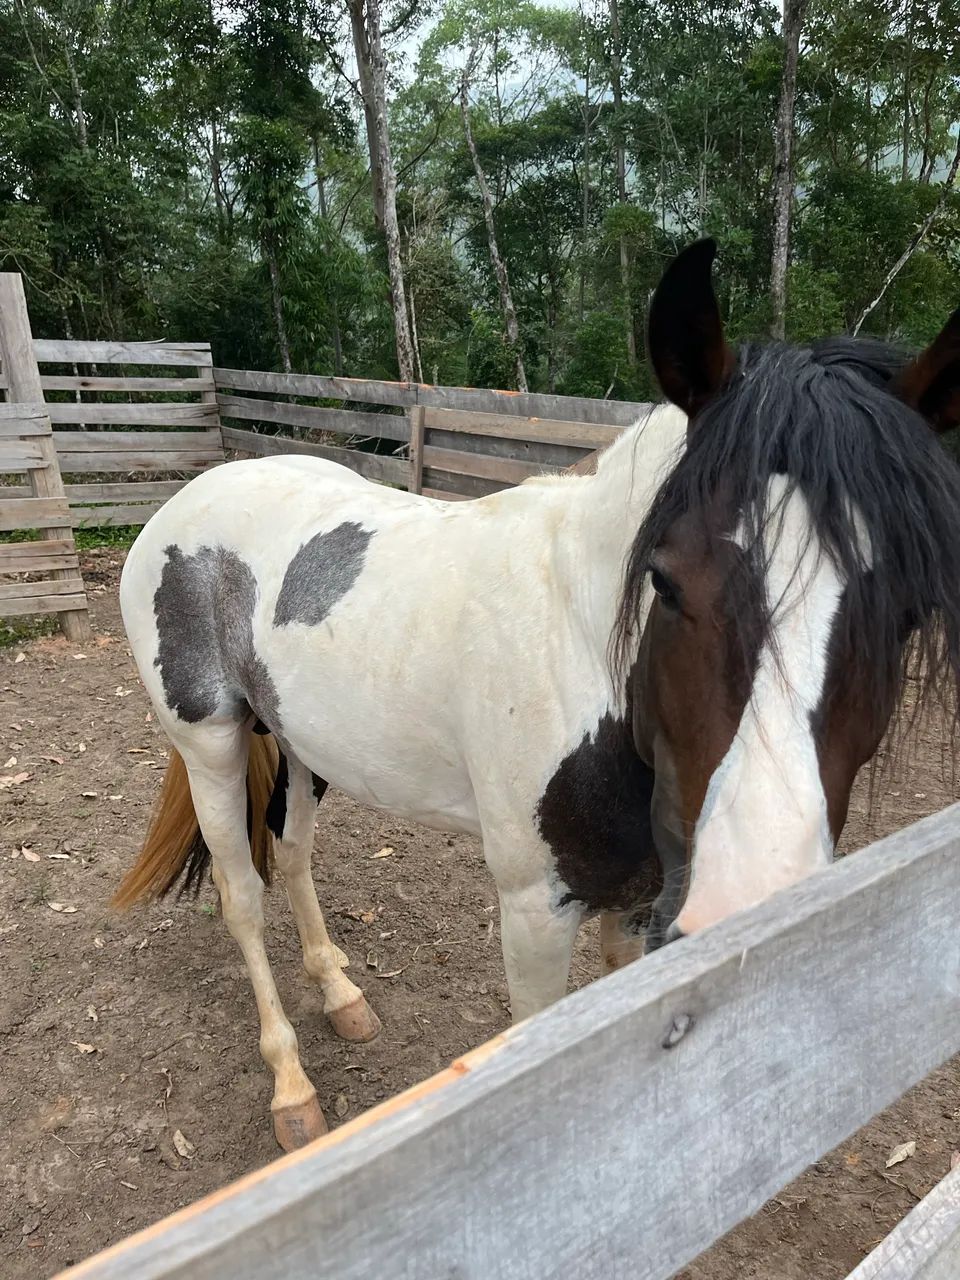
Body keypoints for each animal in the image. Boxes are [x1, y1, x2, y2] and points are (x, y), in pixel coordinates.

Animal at [113, 239, 960, 1150]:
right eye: (667, 581)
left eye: (909, 609)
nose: (759, 922)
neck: (586, 657)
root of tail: (190, 500)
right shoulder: (535, 913)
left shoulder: (641, 901)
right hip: (211, 745)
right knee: (242, 896)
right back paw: (292, 1088)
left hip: (303, 746)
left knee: (297, 856)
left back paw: (342, 995)